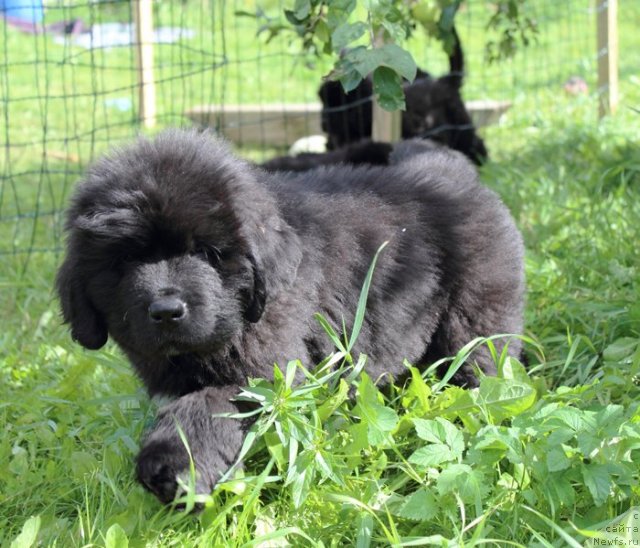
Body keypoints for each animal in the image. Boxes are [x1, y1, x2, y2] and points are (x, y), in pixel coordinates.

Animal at [56, 128, 524, 506]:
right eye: (125, 261)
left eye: (208, 253)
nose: (167, 311)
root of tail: (448, 171)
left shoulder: (270, 375)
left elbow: (206, 405)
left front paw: (172, 466)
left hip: (476, 320)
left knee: (482, 371)